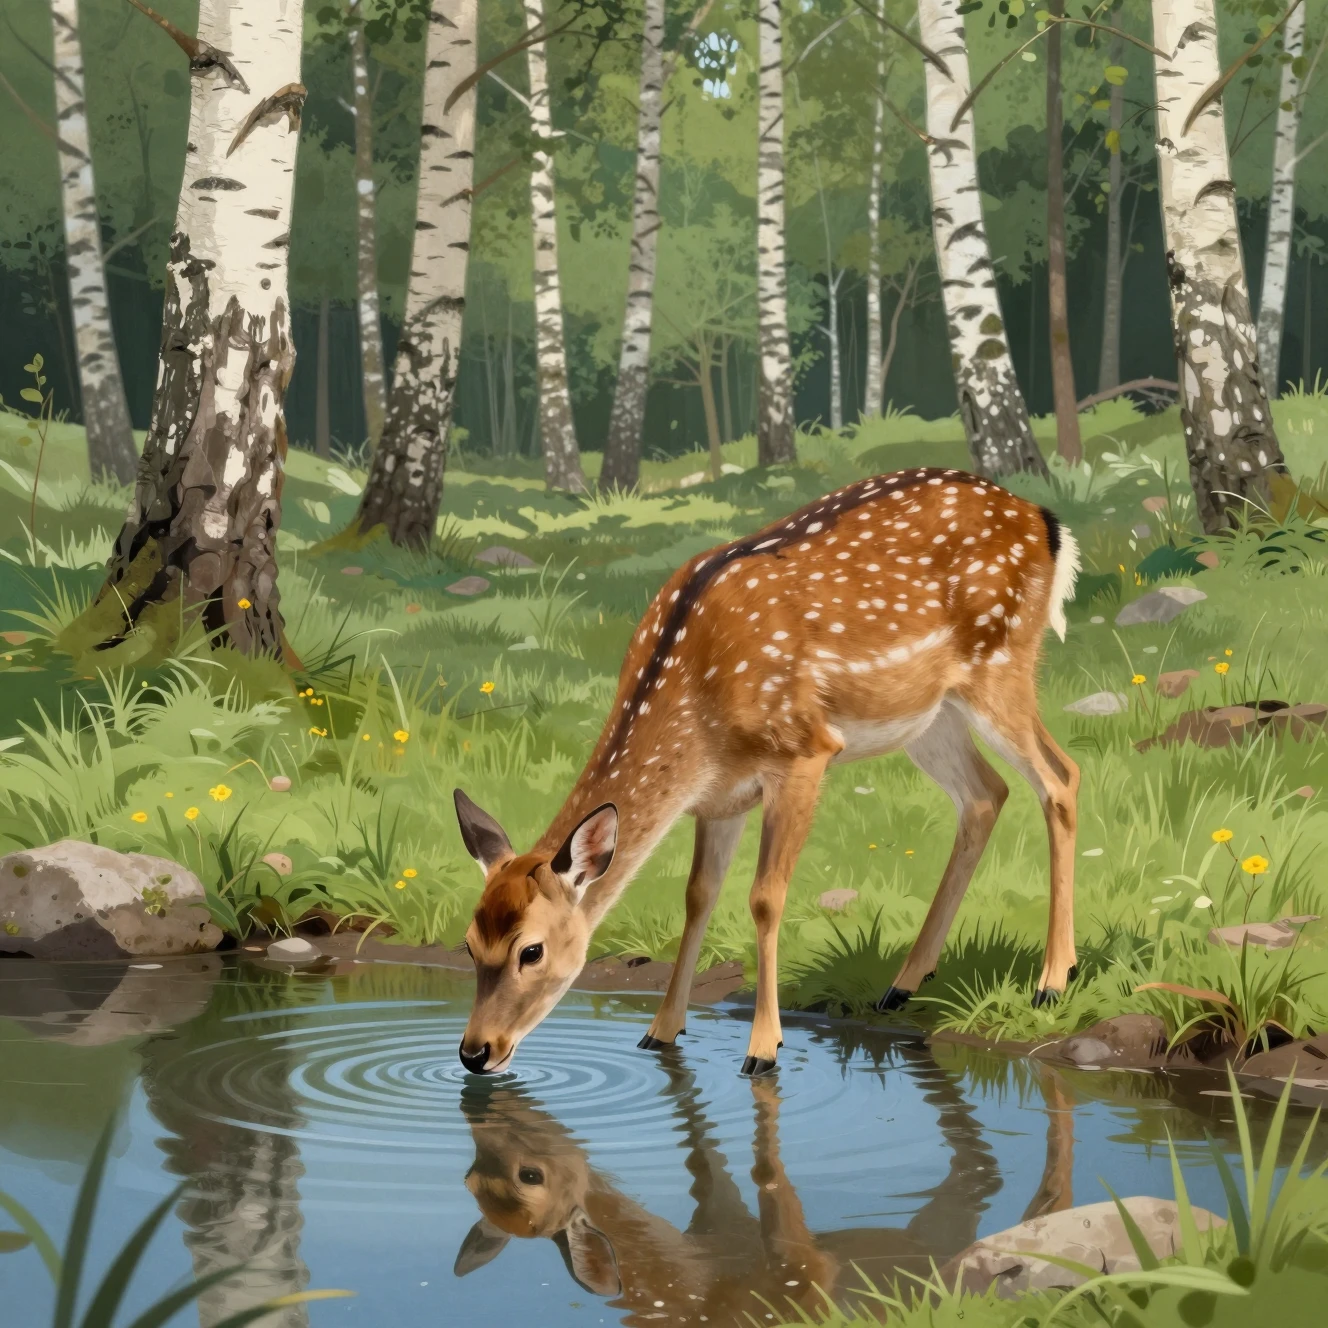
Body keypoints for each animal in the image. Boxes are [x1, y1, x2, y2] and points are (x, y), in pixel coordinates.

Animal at [454, 467, 1081, 1075]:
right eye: (468, 943)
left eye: (530, 950)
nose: (475, 1052)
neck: (698, 716)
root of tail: (1046, 523)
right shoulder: (719, 797)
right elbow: (699, 894)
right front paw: (660, 1032)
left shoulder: (804, 749)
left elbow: (764, 897)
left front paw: (762, 1048)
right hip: (928, 717)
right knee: (985, 794)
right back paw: (902, 985)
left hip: (1000, 663)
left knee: (1061, 776)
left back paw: (1053, 980)